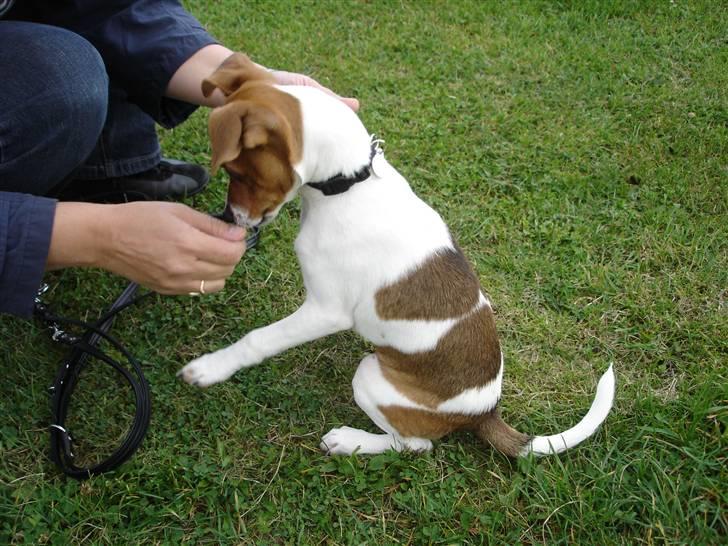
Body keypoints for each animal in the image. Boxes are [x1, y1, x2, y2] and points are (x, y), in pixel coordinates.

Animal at [178, 54, 616, 454]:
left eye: (237, 173)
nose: (228, 217)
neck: (349, 185)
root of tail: (484, 412)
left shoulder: (325, 310)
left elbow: (259, 339)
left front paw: (211, 367)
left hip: (372, 376)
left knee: (414, 445)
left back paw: (350, 441)